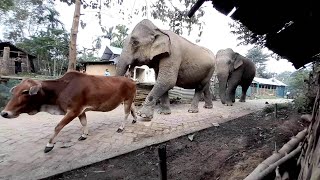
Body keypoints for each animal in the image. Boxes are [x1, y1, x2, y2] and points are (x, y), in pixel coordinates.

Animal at [0, 71, 138, 153]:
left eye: (25, 92)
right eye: (14, 91)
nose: (4, 113)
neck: (61, 89)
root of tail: (131, 80)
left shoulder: (73, 110)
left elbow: (58, 126)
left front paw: (49, 145)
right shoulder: (80, 110)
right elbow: (84, 122)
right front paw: (84, 135)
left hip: (127, 99)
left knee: (126, 113)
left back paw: (121, 127)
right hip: (129, 100)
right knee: (133, 108)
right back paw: (135, 119)